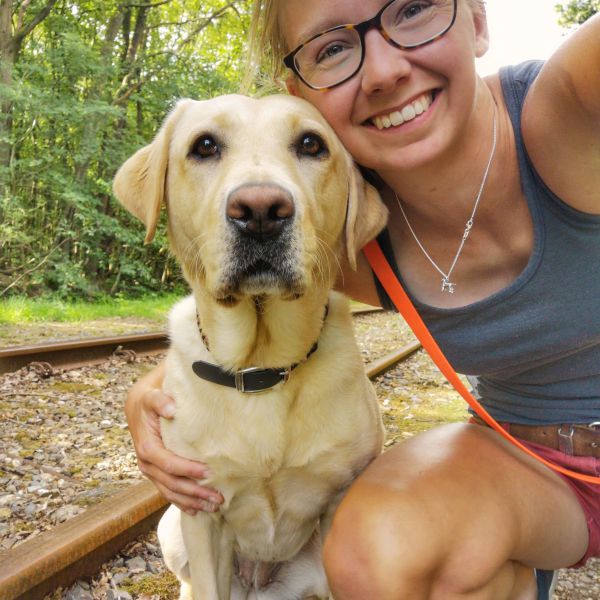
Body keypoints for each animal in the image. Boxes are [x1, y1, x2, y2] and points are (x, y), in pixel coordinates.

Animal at [113, 95, 384, 600]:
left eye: (311, 144)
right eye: (204, 146)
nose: (260, 210)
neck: (262, 367)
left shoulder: (341, 500)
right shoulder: (202, 512)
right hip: (170, 527)